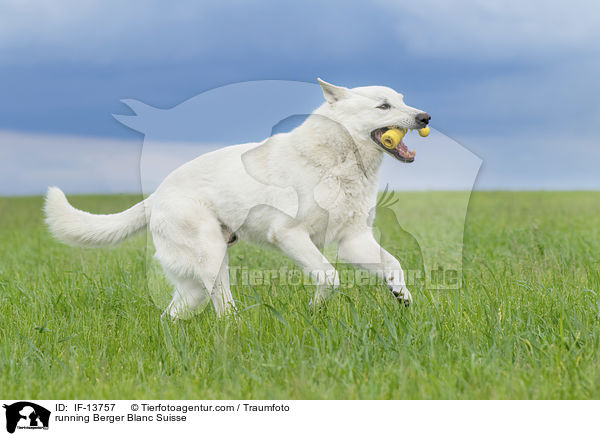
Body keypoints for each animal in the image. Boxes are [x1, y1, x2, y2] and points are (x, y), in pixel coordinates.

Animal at [44, 77, 428, 316]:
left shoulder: (354, 240)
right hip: (213, 260)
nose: (425, 116)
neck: (338, 161)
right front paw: (315, 310)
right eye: (383, 106)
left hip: (194, 284)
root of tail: (157, 194)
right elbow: (328, 276)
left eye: (403, 101)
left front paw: (401, 294)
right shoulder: (289, 234)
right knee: (223, 308)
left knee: (172, 315)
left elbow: (394, 265)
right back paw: (236, 329)